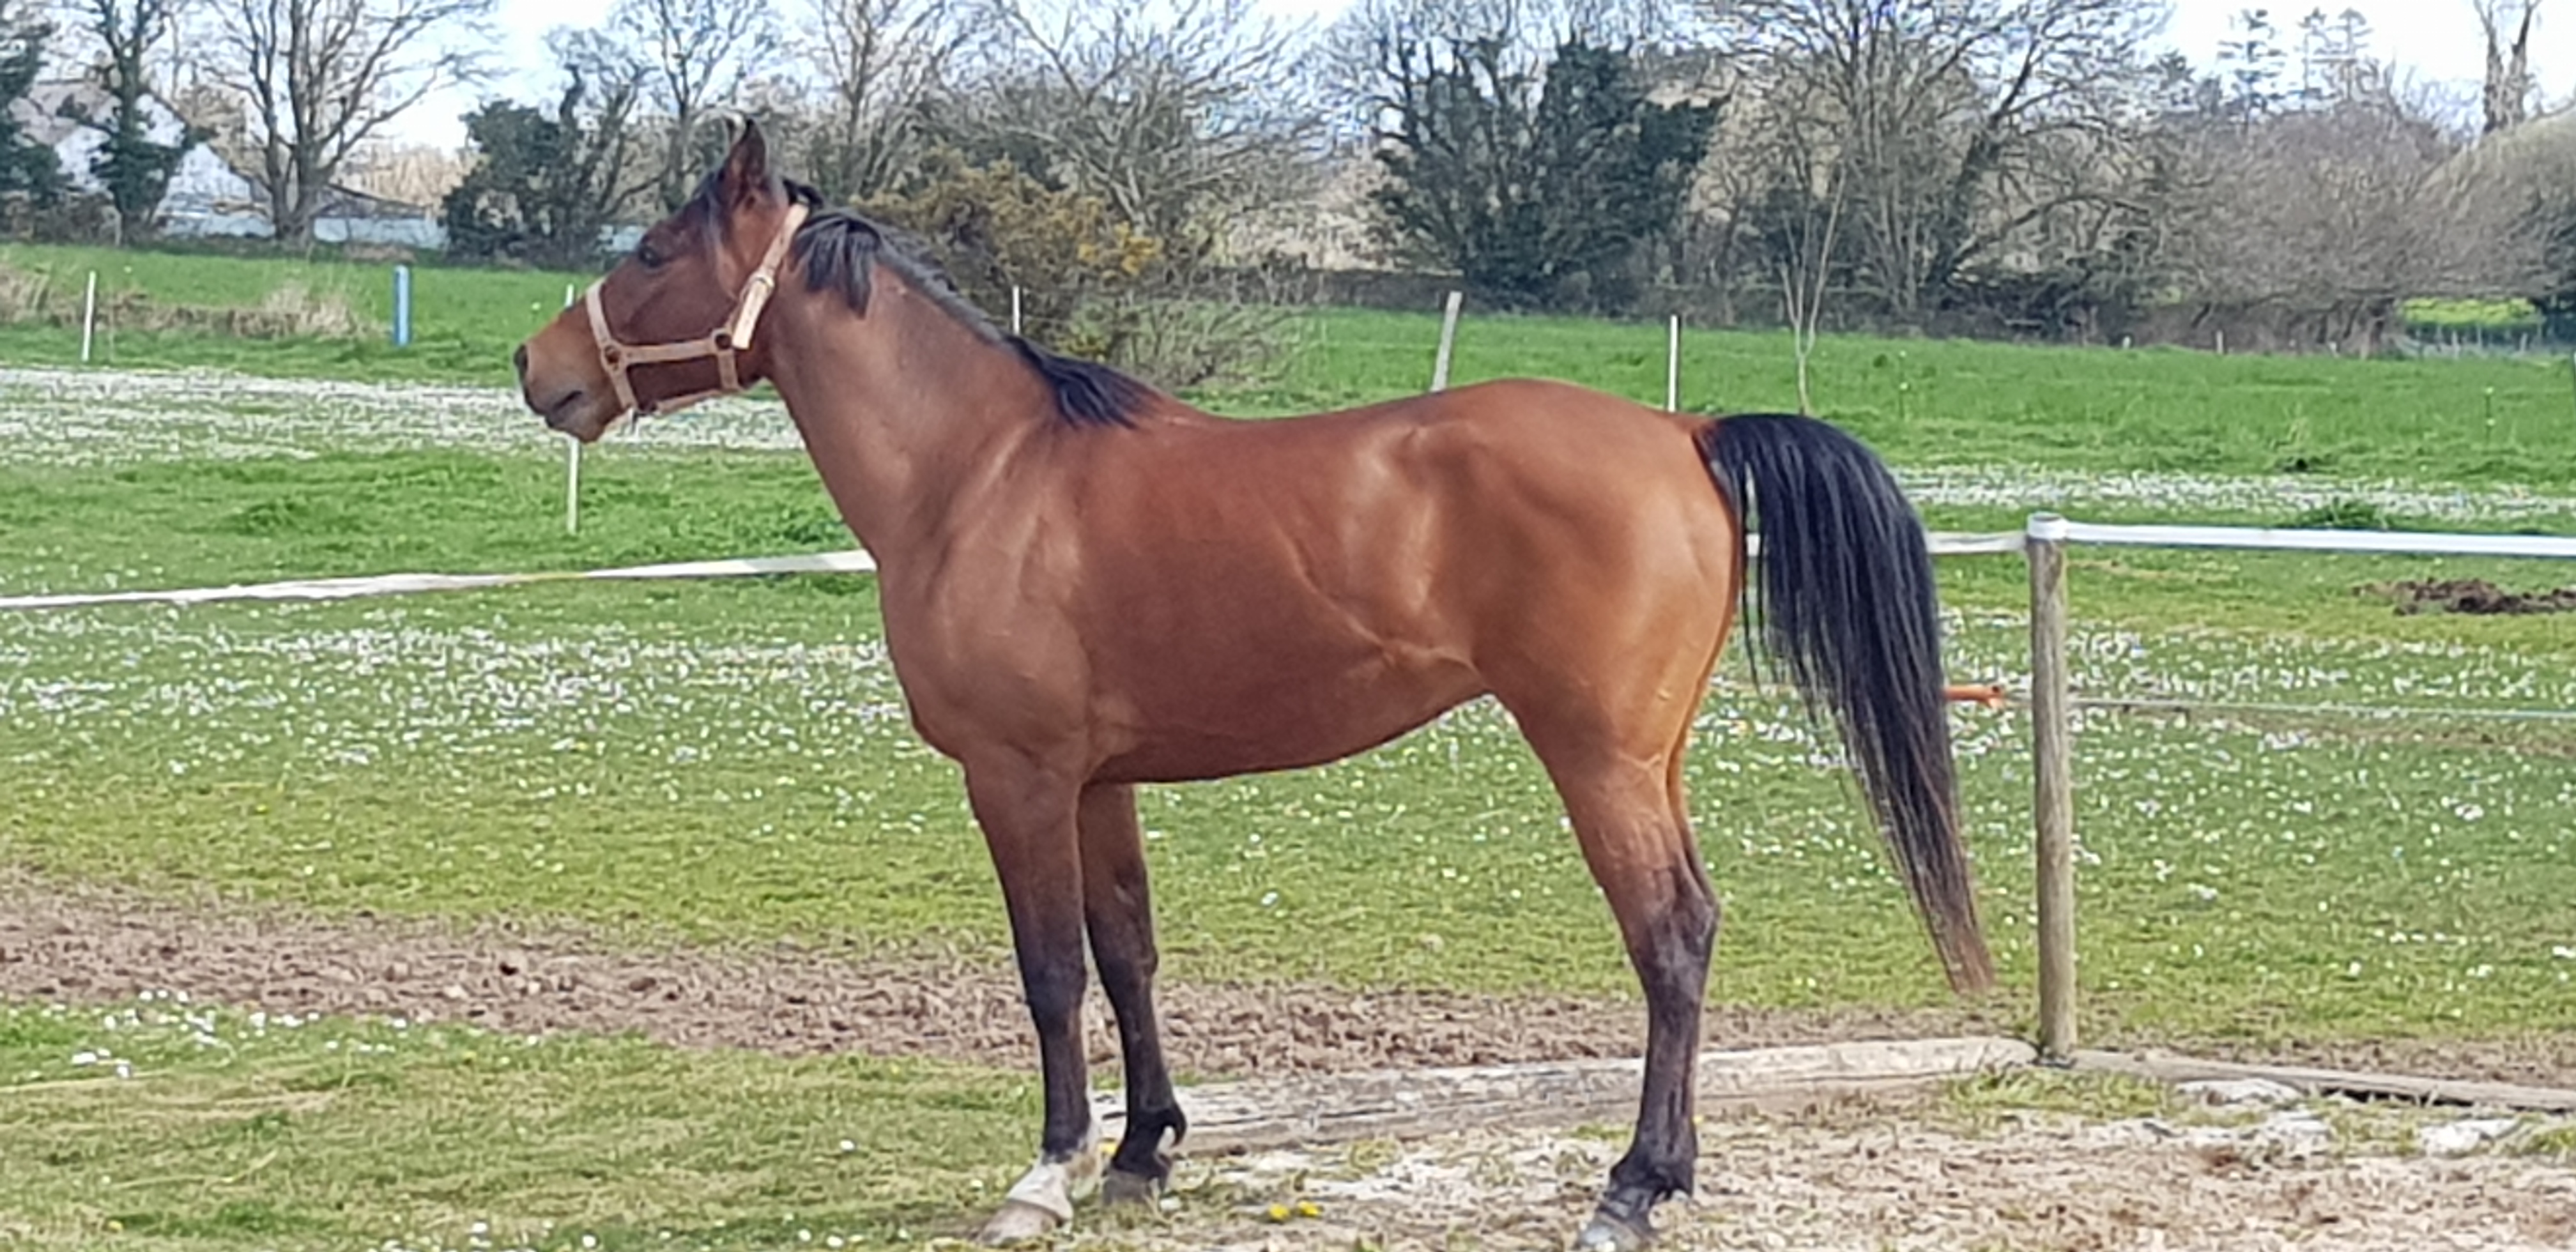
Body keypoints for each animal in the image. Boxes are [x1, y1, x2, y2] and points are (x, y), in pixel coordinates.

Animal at [513, 121, 1993, 1251]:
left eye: (651, 252)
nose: (541, 369)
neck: (980, 476)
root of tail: (1685, 430)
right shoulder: (1099, 781)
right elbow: (1127, 953)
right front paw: (1141, 1153)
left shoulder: (1017, 777)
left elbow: (1049, 971)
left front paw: (1046, 1174)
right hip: (1652, 758)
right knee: (1693, 930)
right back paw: (1666, 1173)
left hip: (1598, 761)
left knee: (1670, 938)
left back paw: (1627, 1190)